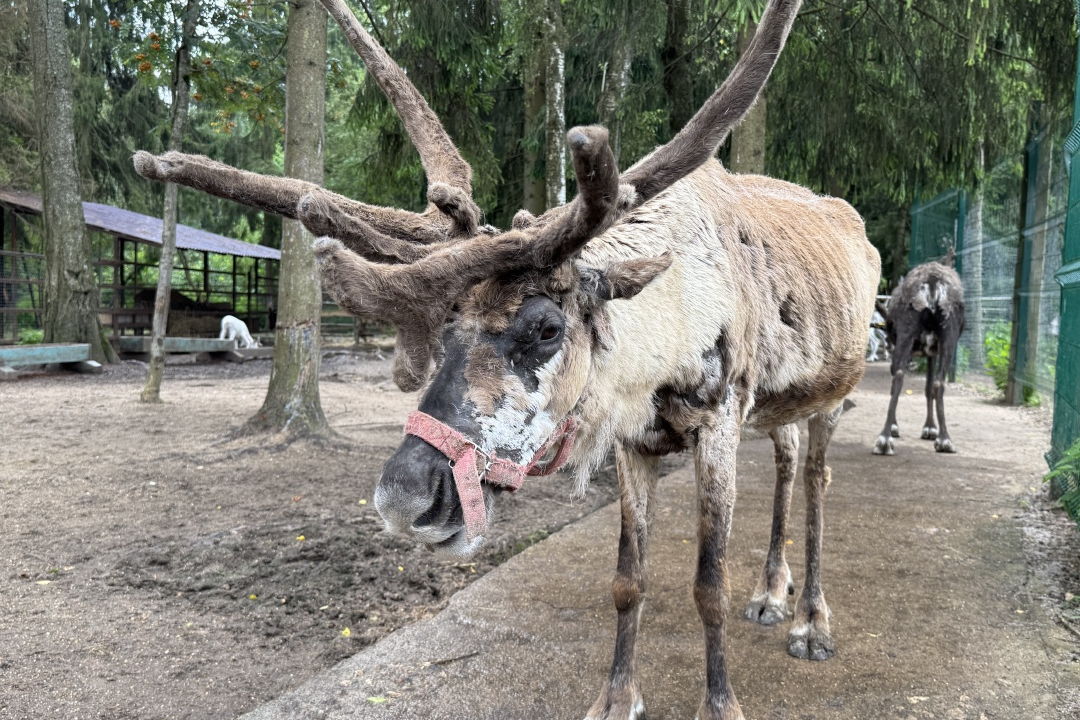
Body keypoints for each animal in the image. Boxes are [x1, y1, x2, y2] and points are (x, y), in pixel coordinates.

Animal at [132, 1, 880, 717]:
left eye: (547, 328)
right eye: (445, 326)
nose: (404, 498)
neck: (661, 342)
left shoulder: (717, 423)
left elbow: (707, 586)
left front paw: (721, 704)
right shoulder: (636, 443)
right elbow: (627, 580)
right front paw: (615, 699)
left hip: (833, 394)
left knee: (816, 481)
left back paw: (811, 621)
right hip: (780, 406)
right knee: (786, 463)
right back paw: (772, 592)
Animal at [872, 260, 965, 456]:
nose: (887, 344)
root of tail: (932, 283)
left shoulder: (927, 352)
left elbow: (926, 386)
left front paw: (928, 428)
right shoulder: (931, 352)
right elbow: (928, 386)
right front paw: (930, 428)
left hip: (911, 335)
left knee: (901, 376)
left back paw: (885, 439)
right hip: (946, 336)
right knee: (936, 382)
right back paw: (943, 439)